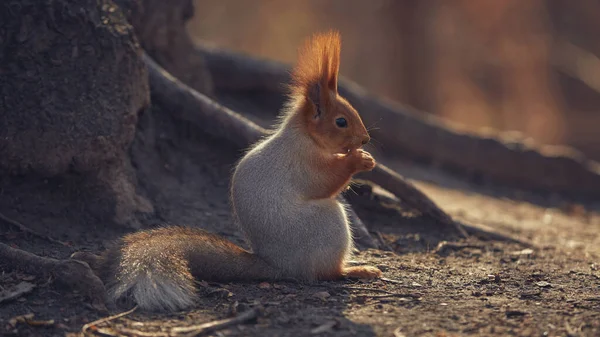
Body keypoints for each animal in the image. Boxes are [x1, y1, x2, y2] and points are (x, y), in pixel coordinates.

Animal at [70, 30, 380, 312]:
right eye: (341, 121)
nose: (365, 139)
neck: (305, 136)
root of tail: (278, 265)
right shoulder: (302, 162)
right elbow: (325, 181)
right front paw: (359, 161)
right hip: (328, 224)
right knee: (326, 272)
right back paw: (356, 270)